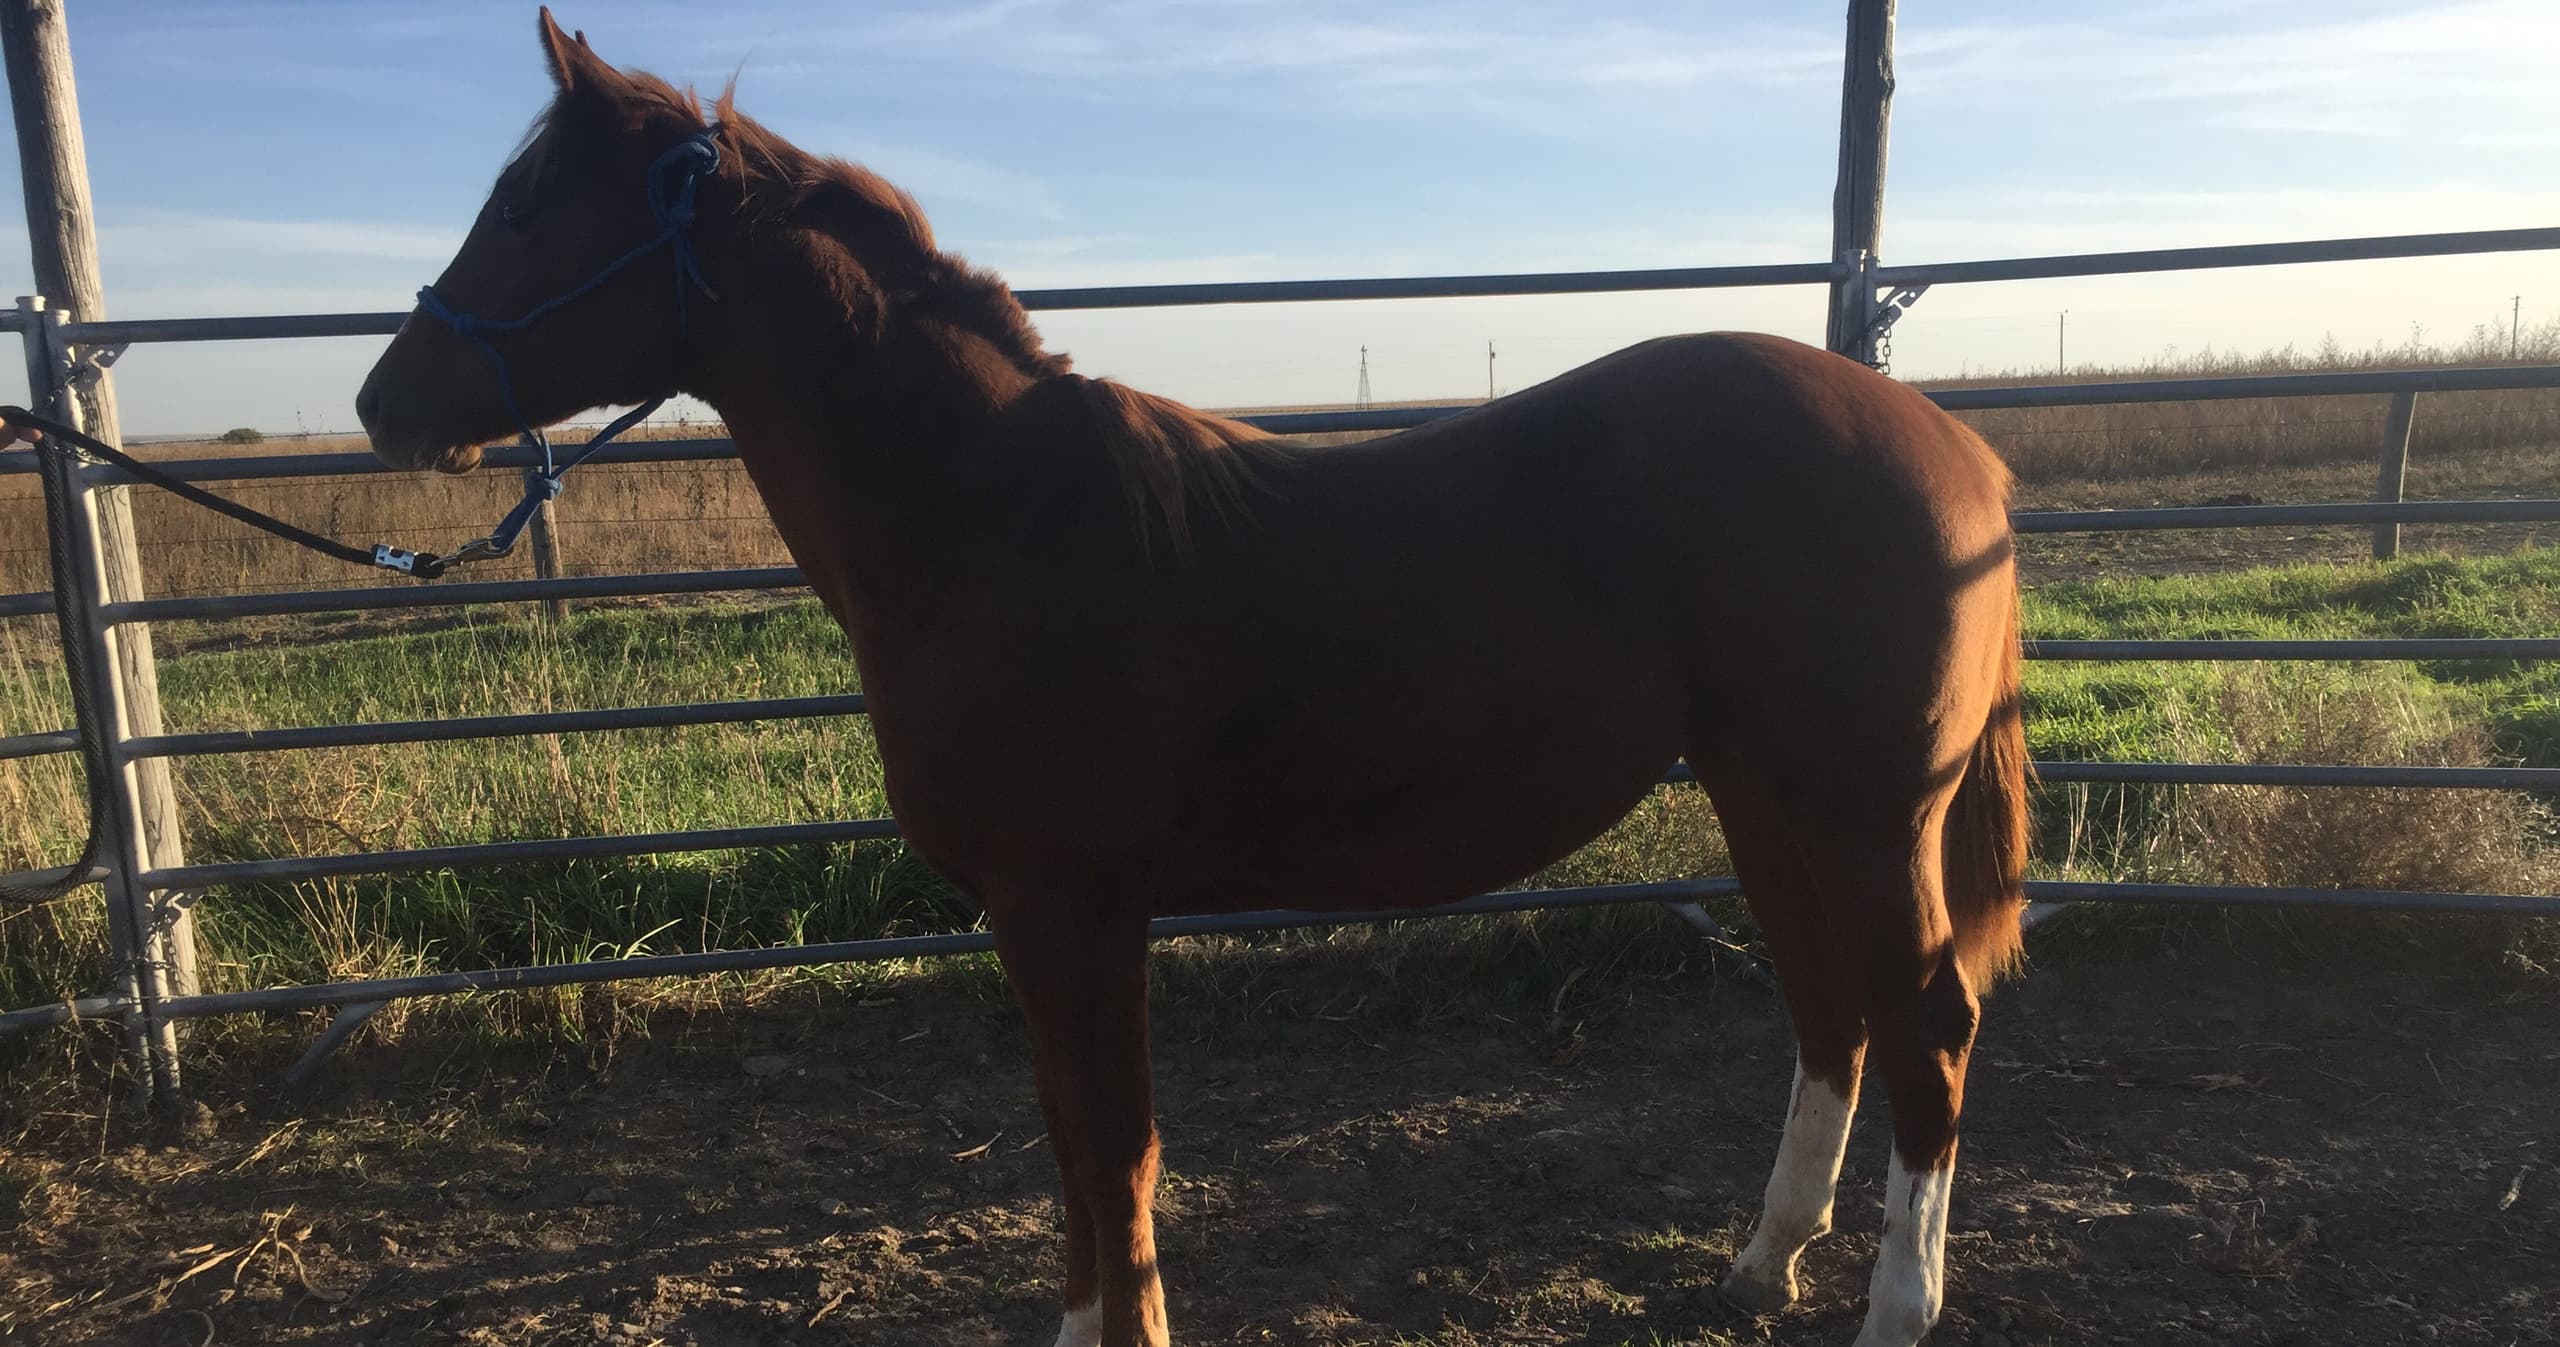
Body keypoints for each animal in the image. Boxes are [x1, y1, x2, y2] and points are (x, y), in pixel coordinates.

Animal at [356, 13, 2029, 1346]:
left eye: (525, 206)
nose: (384, 400)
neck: (993, 511)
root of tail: (1955, 446)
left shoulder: (1072, 909)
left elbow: (1116, 1152)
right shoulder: (1040, 922)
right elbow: (1074, 1148)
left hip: (1866, 815)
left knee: (1928, 1022)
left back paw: (1897, 1304)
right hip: (1765, 797)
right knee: (1831, 1010)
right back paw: (1762, 1261)